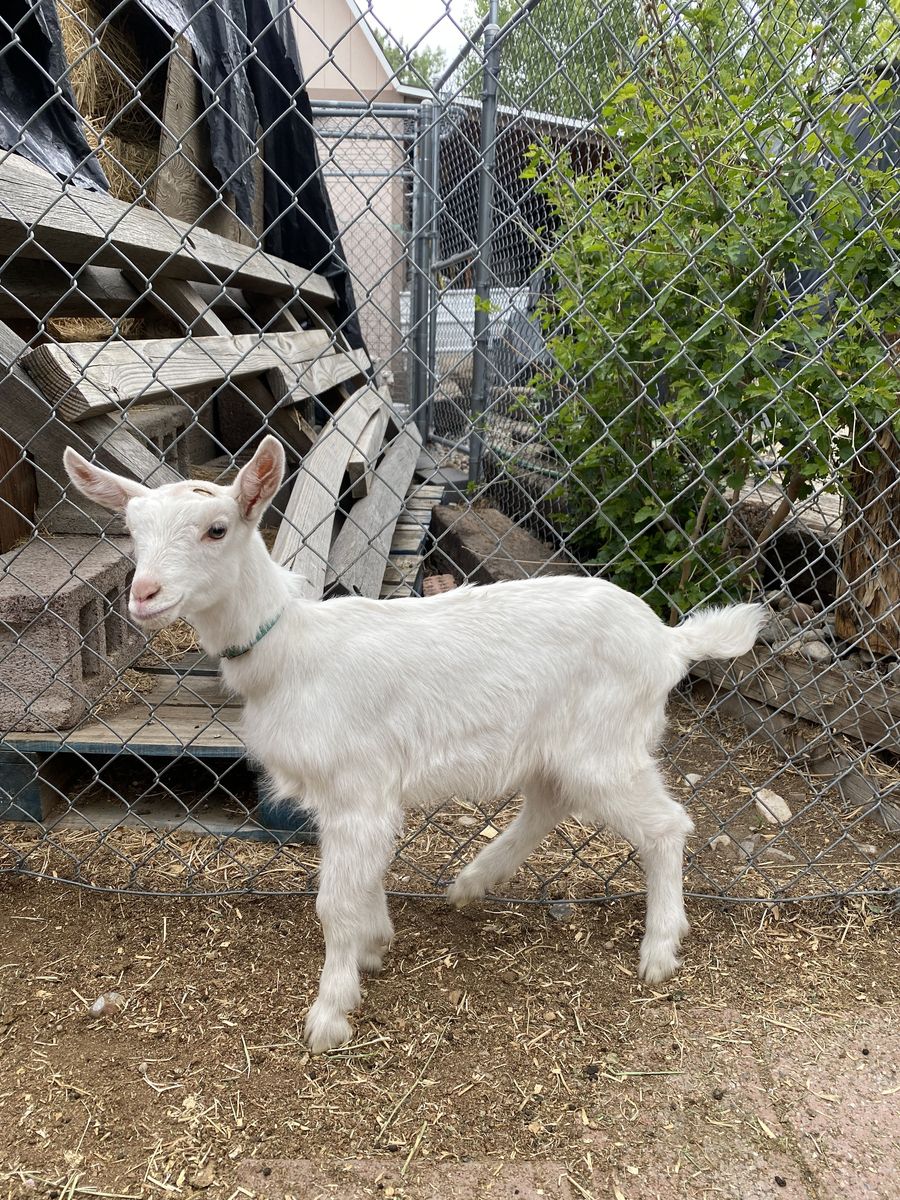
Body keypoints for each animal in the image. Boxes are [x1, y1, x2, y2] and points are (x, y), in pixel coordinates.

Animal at [64, 437, 763, 1052]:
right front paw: (374, 944)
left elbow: (334, 900)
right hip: (560, 742)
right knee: (549, 803)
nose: (143, 595)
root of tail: (669, 642)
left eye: (217, 528)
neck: (291, 649)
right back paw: (473, 882)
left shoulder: (357, 785)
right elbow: (364, 876)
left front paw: (330, 1012)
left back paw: (660, 948)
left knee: (665, 825)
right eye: (132, 531)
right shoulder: (350, 795)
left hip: (605, 741)